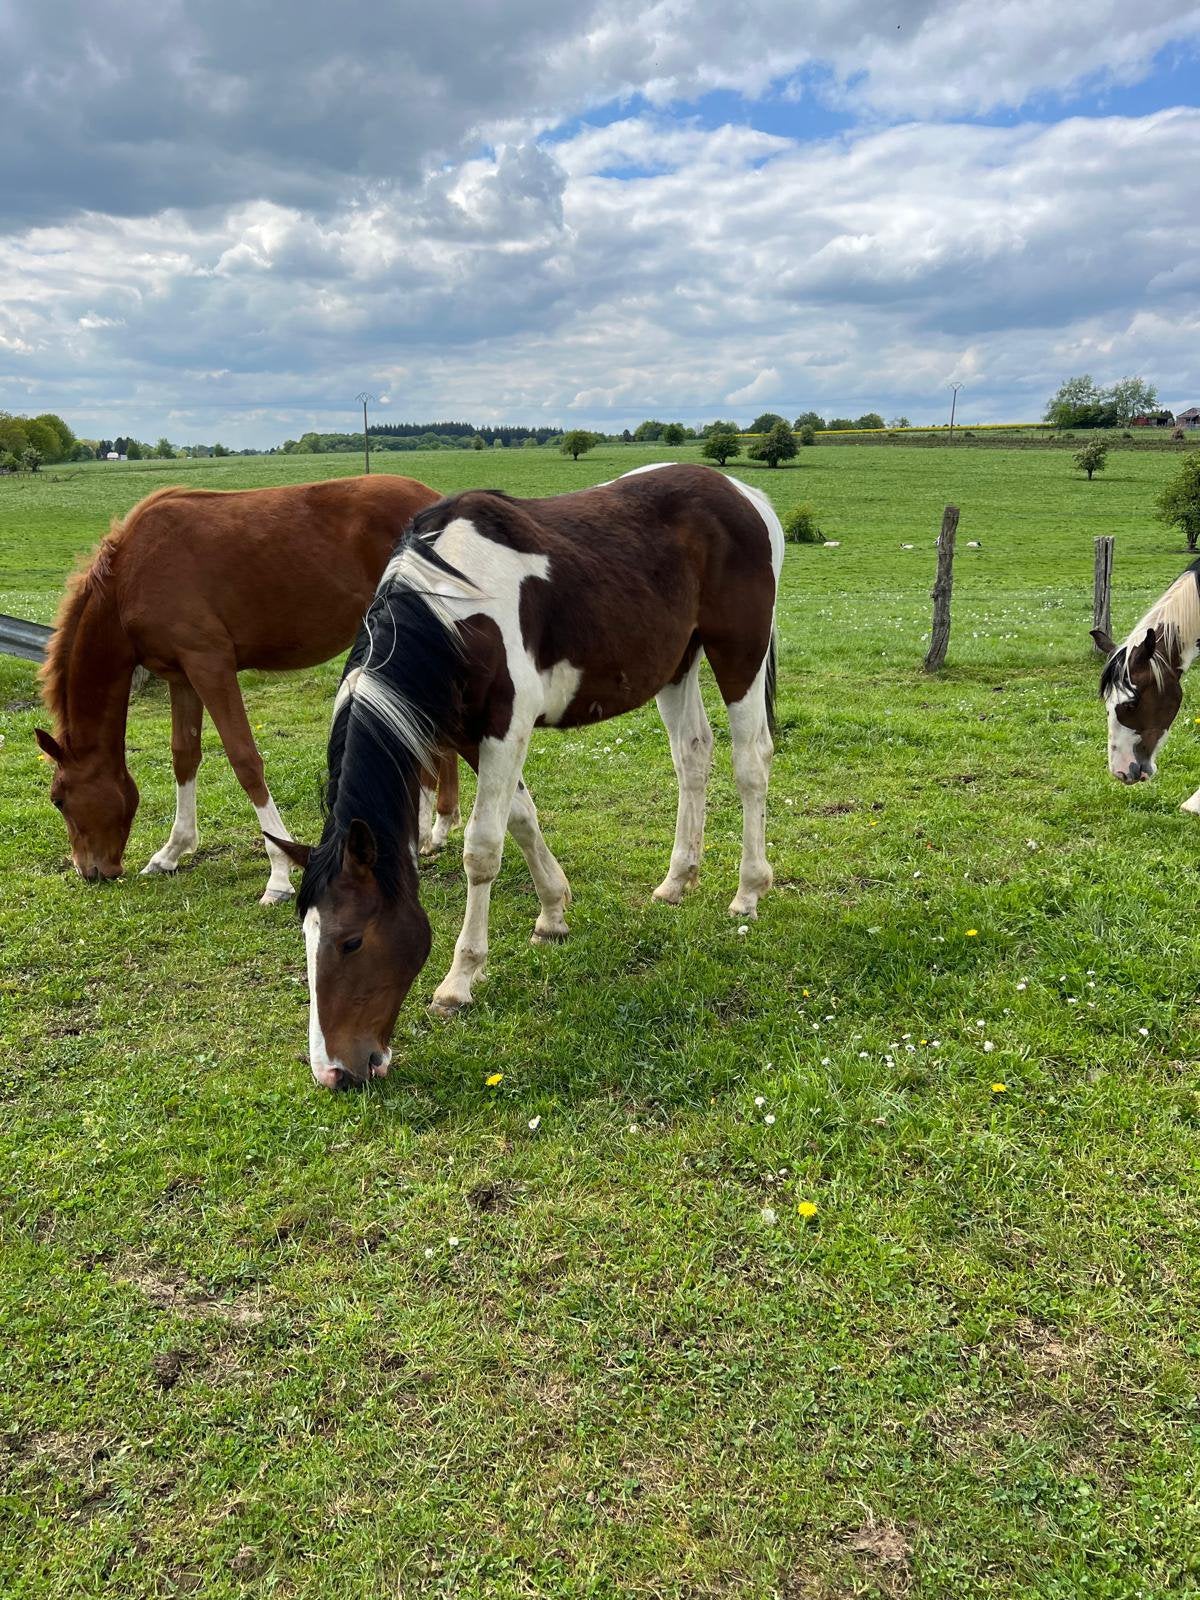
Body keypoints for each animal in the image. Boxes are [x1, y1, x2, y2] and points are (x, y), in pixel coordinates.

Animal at [34, 473, 461, 903]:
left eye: (58, 800)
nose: (89, 870)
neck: (130, 577)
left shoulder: (210, 664)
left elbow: (245, 761)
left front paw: (279, 875)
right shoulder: (181, 676)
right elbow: (184, 755)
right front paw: (171, 852)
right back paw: (436, 829)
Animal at [272, 462, 783, 1088]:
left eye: (351, 941)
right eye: (306, 936)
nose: (334, 1072)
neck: (453, 608)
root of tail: (741, 493)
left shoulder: (506, 729)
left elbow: (482, 849)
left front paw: (460, 979)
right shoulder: (472, 736)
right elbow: (521, 816)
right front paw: (553, 912)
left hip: (740, 652)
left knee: (750, 762)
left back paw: (748, 891)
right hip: (677, 664)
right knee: (692, 754)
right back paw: (676, 879)